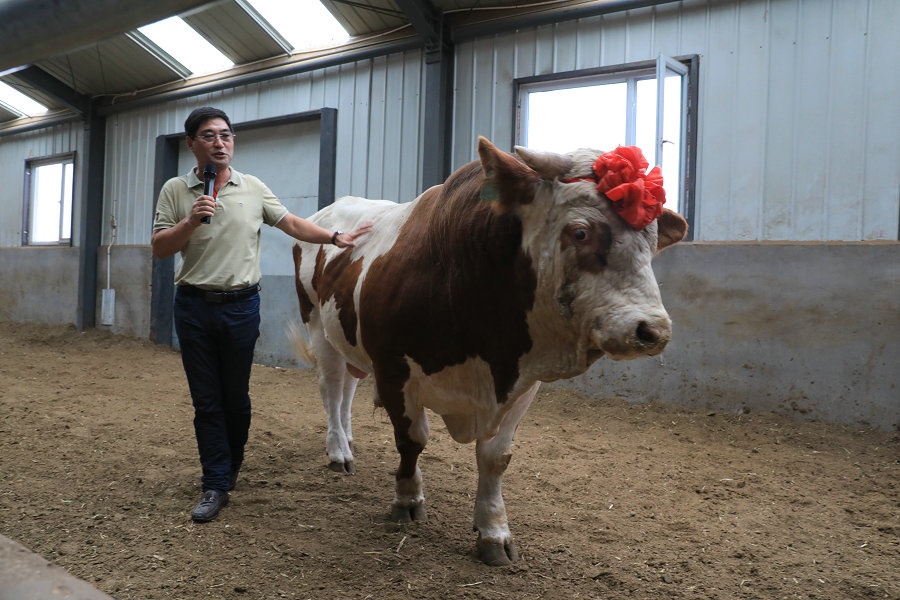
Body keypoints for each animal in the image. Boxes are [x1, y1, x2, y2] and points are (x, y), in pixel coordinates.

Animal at [290, 137, 688, 565]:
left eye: (651, 241)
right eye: (581, 233)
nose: (653, 330)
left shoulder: (522, 380)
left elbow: (496, 457)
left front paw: (494, 532)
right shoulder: (394, 368)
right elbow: (411, 440)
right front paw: (407, 499)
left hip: (348, 341)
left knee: (347, 389)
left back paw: (348, 440)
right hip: (319, 328)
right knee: (332, 389)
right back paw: (338, 451)